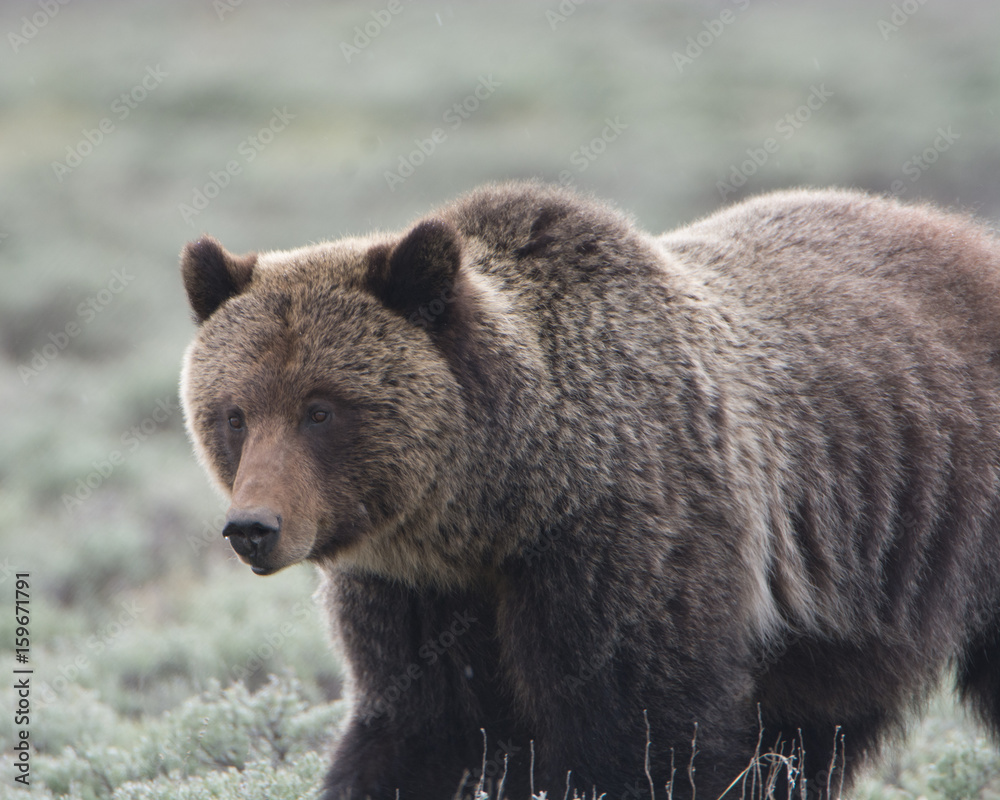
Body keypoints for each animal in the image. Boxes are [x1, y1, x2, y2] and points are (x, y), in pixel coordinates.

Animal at [179, 182, 1000, 800]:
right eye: (235, 413)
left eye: (321, 409)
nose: (252, 526)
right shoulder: (416, 593)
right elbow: (420, 729)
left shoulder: (624, 547)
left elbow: (639, 739)